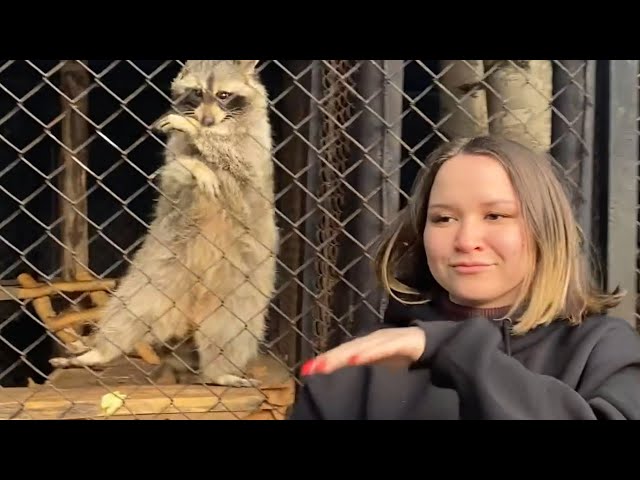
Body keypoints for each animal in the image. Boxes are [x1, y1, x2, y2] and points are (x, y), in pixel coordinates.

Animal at [48, 61, 278, 390]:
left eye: (223, 95)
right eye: (198, 93)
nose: (206, 120)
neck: (220, 124)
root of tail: (191, 306)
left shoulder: (257, 146)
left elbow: (239, 166)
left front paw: (199, 136)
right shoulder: (175, 151)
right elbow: (174, 169)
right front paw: (196, 166)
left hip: (245, 280)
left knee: (232, 328)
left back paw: (220, 371)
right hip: (159, 271)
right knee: (129, 309)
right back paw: (102, 350)